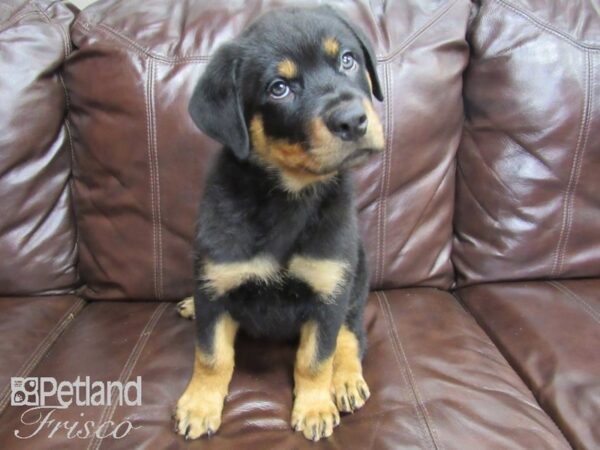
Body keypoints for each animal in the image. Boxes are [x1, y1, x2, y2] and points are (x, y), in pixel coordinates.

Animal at [172, 5, 384, 442]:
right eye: (279, 88)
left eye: (348, 60)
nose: (354, 120)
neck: (288, 198)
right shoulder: (215, 283)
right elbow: (212, 355)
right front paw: (200, 405)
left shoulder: (329, 289)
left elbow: (317, 357)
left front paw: (315, 407)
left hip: (356, 275)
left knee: (352, 333)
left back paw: (346, 380)